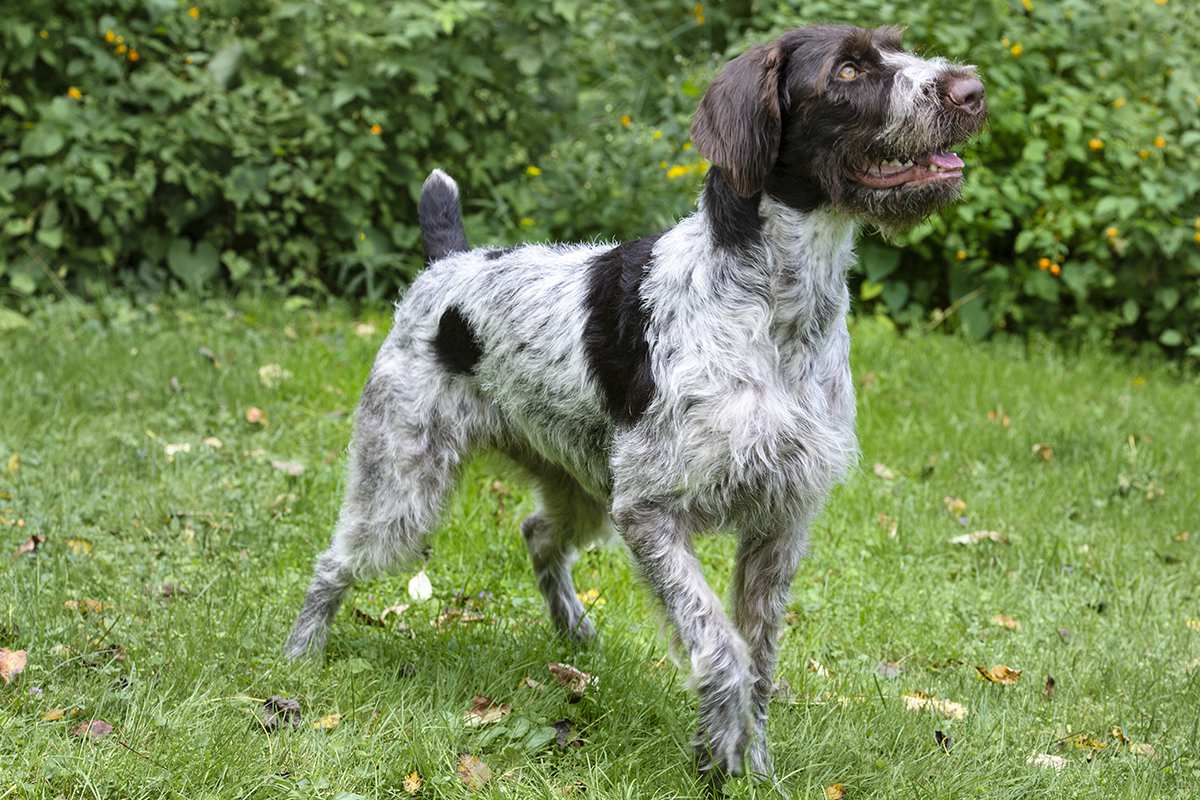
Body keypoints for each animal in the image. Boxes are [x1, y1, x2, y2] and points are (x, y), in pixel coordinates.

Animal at [288, 23, 984, 782]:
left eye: (898, 45)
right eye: (849, 70)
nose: (971, 90)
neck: (776, 312)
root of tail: (448, 266)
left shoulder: (780, 519)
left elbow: (761, 658)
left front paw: (754, 767)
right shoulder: (651, 513)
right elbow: (721, 645)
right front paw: (719, 746)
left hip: (579, 489)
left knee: (536, 533)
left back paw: (574, 632)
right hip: (404, 487)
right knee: (333, 563)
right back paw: (299, 660)